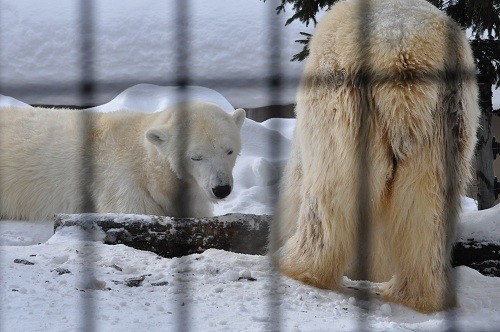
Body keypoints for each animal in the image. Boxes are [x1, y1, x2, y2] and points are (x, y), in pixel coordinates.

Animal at [270, 0, 480, 314]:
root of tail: (402, 51)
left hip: (349, 103)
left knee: (331, 194)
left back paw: (296, 265)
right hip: (444, 119)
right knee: (427, 206)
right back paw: (418, 295)